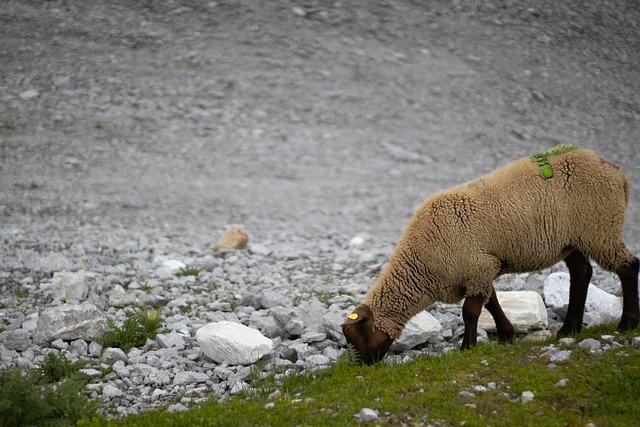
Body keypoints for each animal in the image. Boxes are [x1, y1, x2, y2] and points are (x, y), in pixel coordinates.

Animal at [344, 145, 640, 364]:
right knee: (581, 275)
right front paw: (507, 334)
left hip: (600, 228)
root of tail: (616, 173)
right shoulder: (480, 269)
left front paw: (467, 346)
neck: (420, 265)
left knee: (628, 266)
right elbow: (492, 302)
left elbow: (470, 312)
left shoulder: (477, 266)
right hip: (575, 240)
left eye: (354, 337)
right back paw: (569, 329)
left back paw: (627, 324)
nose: (360, 366)